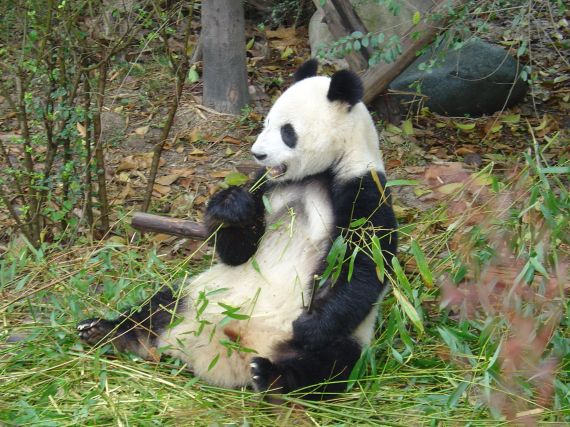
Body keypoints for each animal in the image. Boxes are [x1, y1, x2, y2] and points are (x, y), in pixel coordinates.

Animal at [77, 60, 394, 402]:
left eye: (287, 131)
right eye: (266, 122)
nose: (258, 154)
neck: (320, 172)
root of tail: (224, 355)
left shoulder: (363, 189)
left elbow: (365, 267)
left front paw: (309, 327)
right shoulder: (265, 186)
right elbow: (238, 250)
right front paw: (231, 205)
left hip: (348, 337)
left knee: (329, 364)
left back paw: (272, 376)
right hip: (200, 293)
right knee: (159, 307)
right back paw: (108, 332)